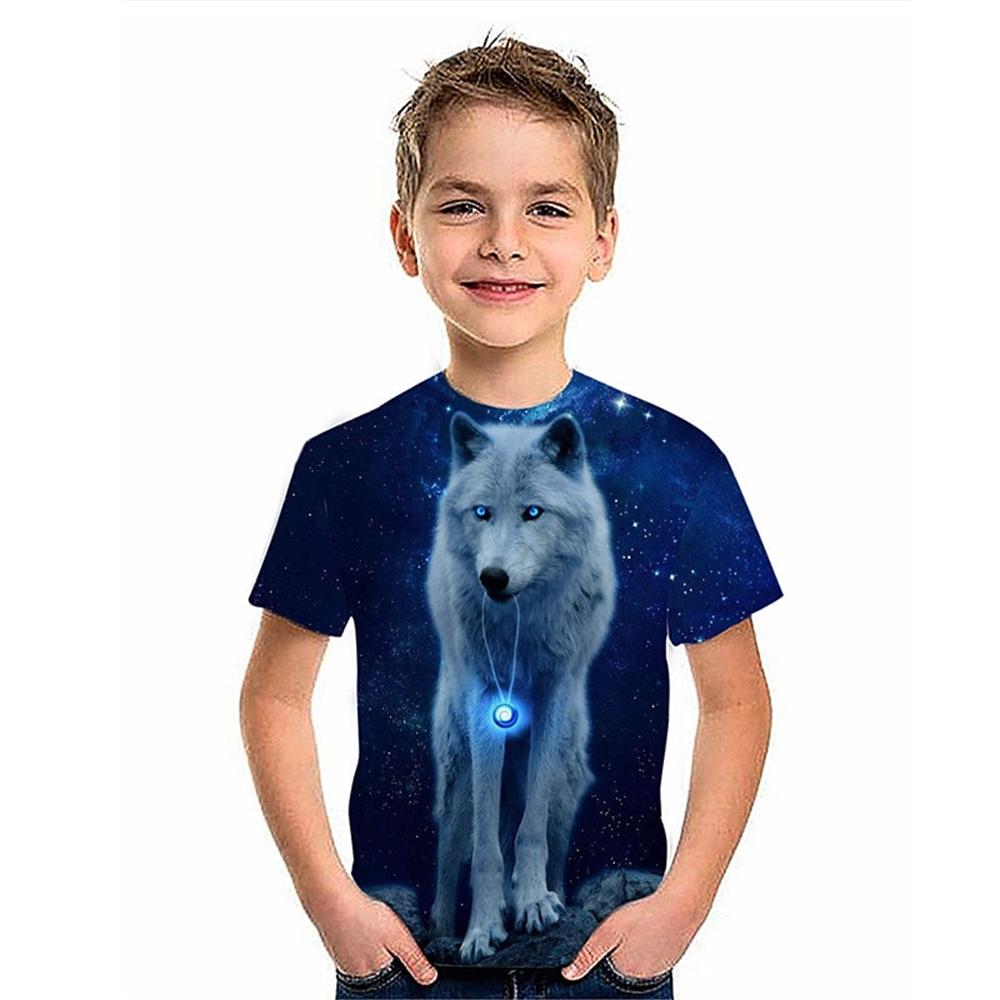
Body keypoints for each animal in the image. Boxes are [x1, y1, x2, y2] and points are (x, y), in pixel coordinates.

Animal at [425, 409, 617, 963]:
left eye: (534, 512)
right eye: (482, 512)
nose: (493, 577)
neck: (520, 623)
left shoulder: (554, 690)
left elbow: (529, 835)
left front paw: (533, 903)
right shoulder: (487, 700)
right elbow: (485, 850)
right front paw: (481, 929)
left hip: (567, 784)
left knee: (545, 836)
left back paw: (544, 896)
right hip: (458, 775)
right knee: (450, 854)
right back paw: (440, 930)